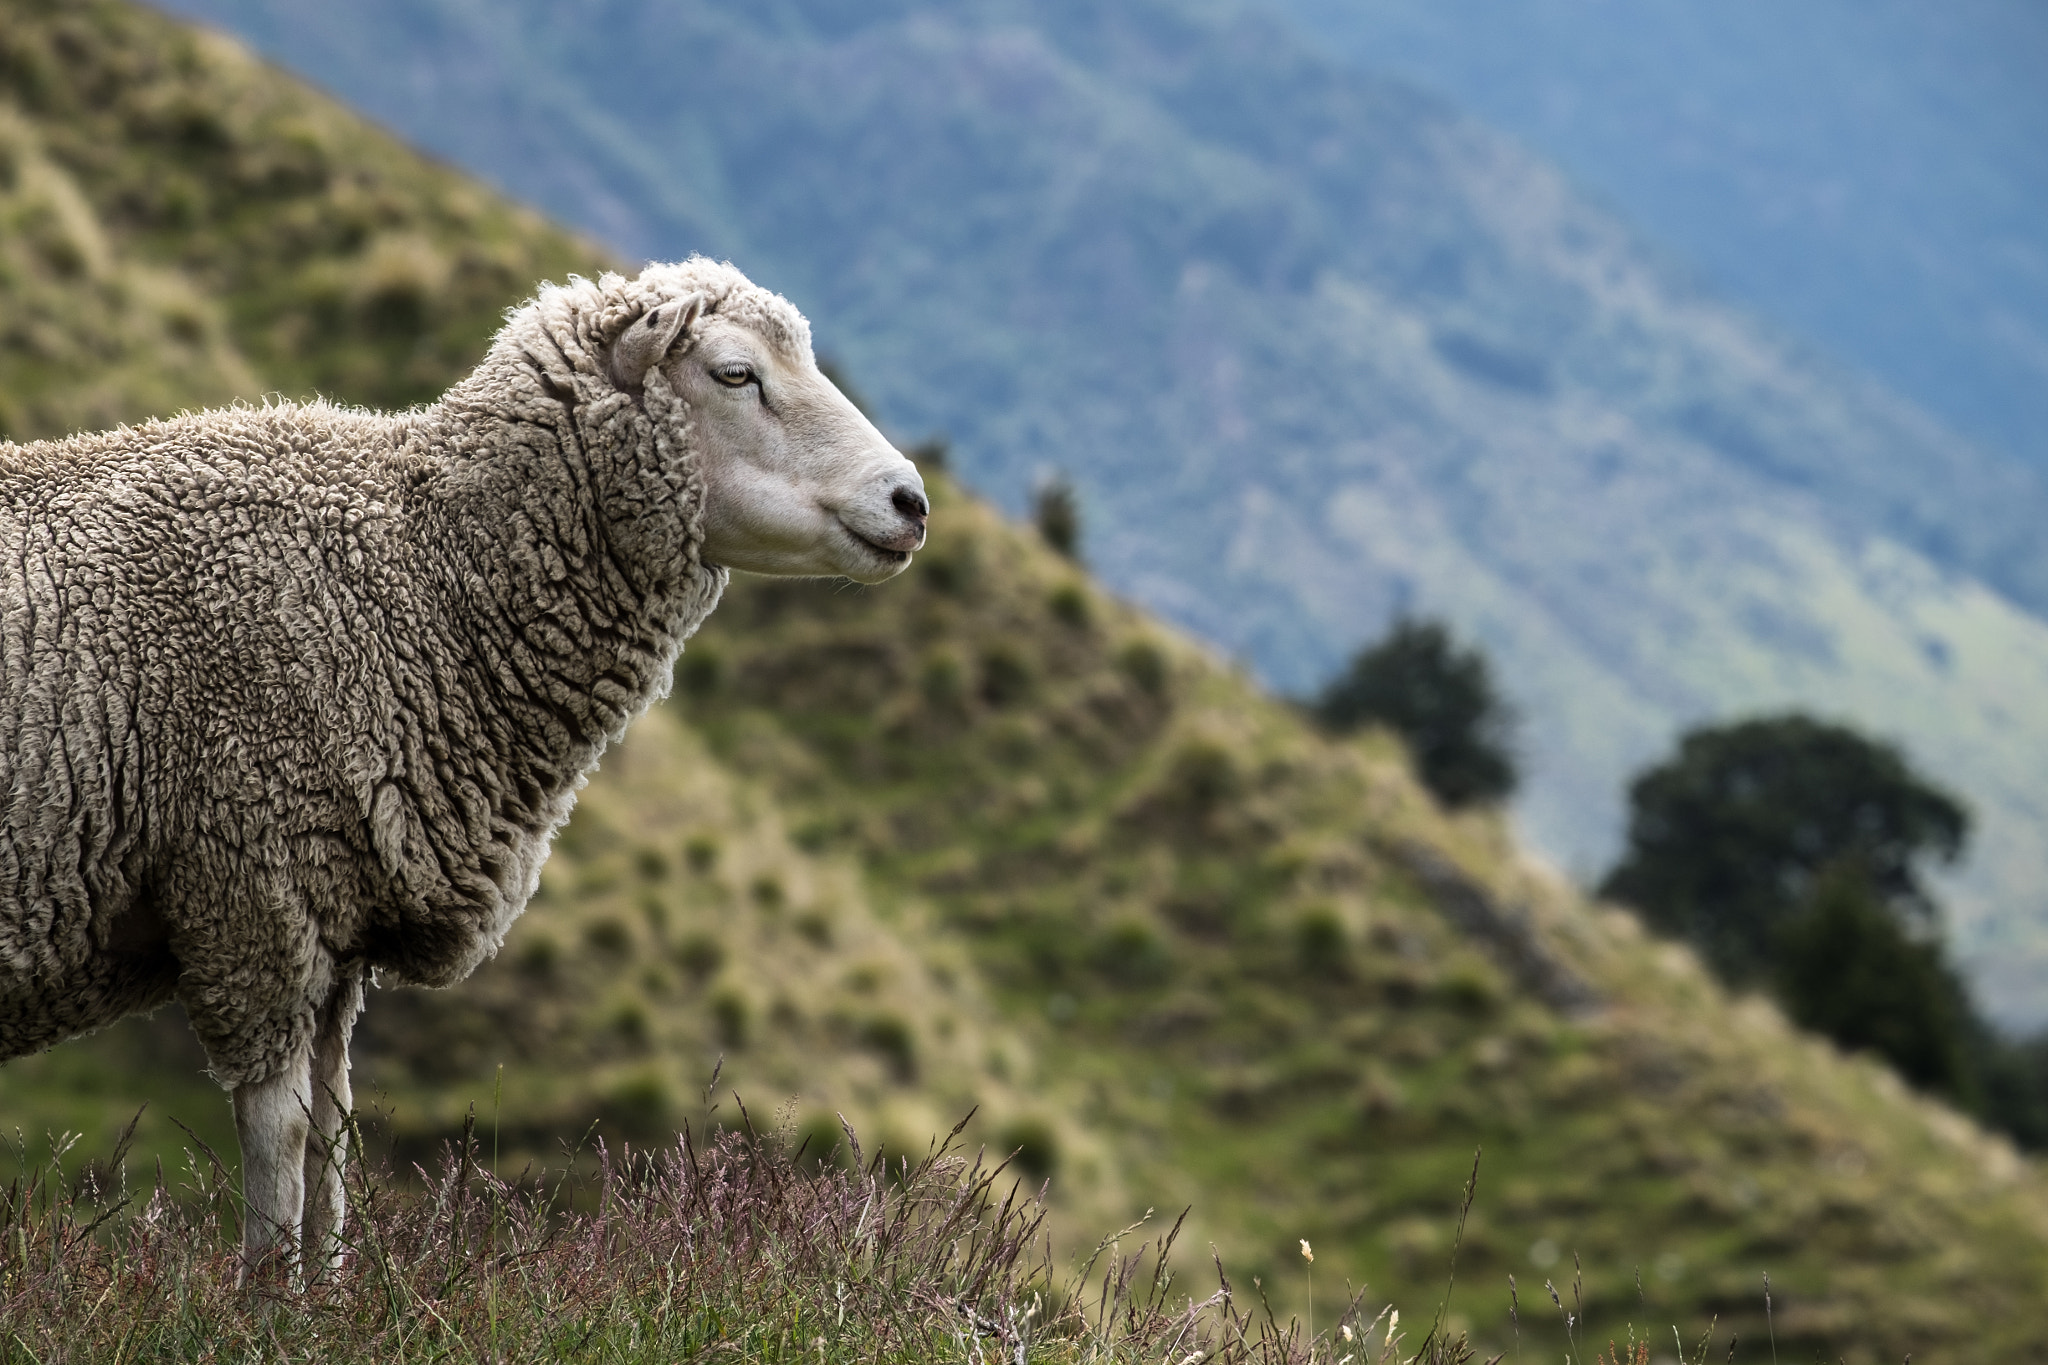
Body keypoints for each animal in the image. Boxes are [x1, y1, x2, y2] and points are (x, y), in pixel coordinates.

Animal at [0, 257, 928, 1270]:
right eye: (734, 373)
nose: (912, 502)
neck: (414, 573)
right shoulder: (254, 896)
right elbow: (280, 1142)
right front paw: (268, 1294)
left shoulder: (336, 927)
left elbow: (333, 1136)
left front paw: (327, 1293)